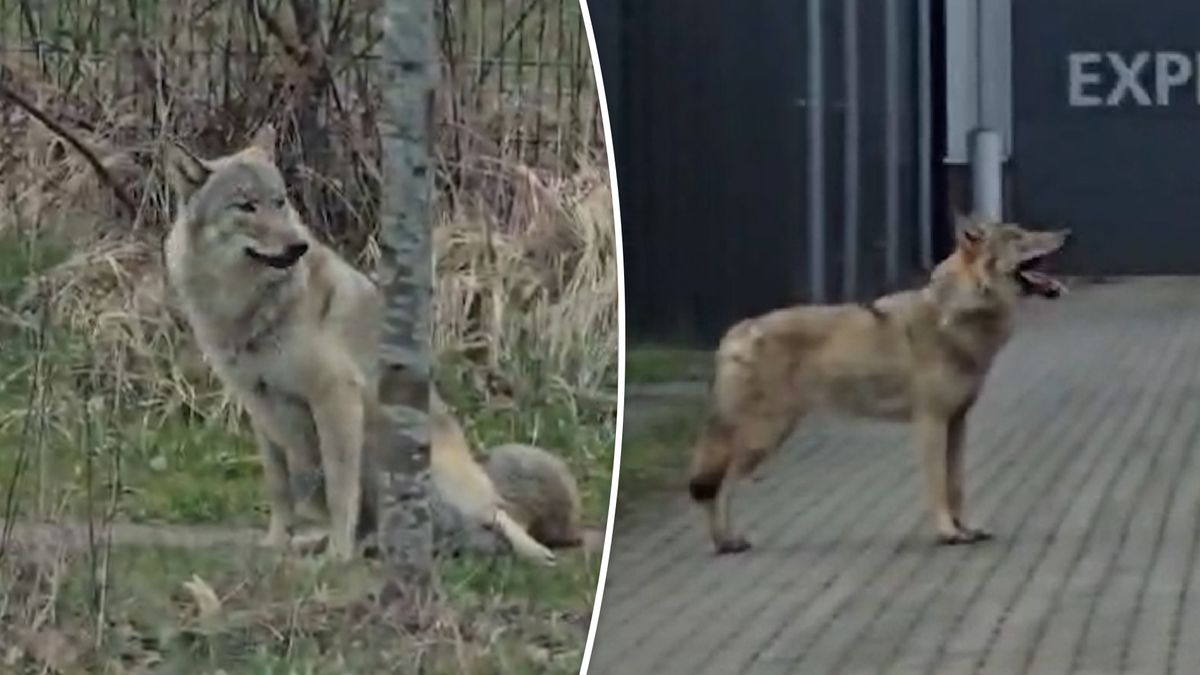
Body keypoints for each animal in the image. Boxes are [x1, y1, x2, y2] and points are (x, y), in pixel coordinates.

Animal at [163, 125, 554, 565]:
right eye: (246, 206)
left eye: (279, 202)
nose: (297, 246)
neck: (246, 307)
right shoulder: (260, 409)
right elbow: (279, 491)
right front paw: (277, 544)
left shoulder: (335, 398)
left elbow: (340, 489)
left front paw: (337, 557)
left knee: (488, 521)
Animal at [687, 216, 1070, 553]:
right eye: (1018, 237)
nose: (1066, 233)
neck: (960, 314)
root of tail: (735, 333)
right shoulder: (931, 422)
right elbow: (937, 484)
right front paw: (947, 532)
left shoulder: (957, 422)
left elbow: (957, 484)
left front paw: (967, 529)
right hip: (765, 437)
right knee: (719, 488)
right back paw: (727, 542)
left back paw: (725, 542)